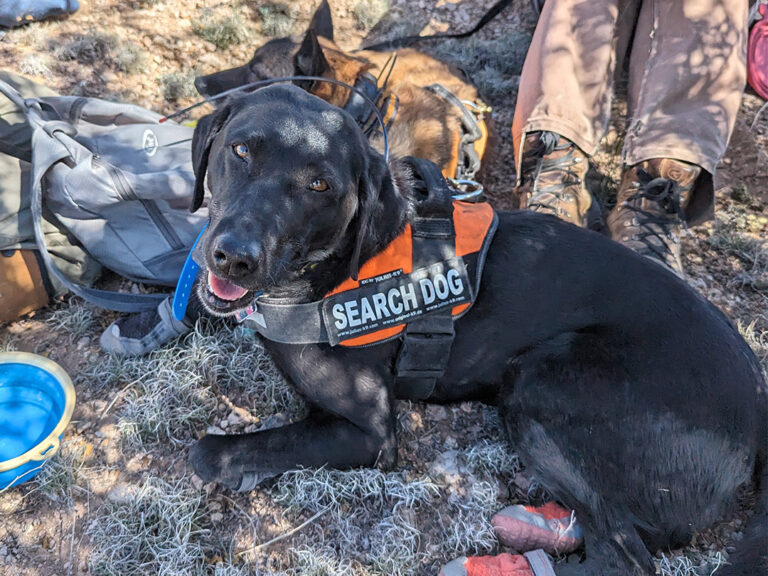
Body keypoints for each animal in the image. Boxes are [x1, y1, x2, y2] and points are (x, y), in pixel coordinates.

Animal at [184, 84, 768, 576]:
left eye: (319, 185)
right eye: (240, 151)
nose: (234, 258)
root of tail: (761, 406)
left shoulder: (370, 433)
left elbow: (215, 451)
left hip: (542, 378)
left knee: (627, 554)